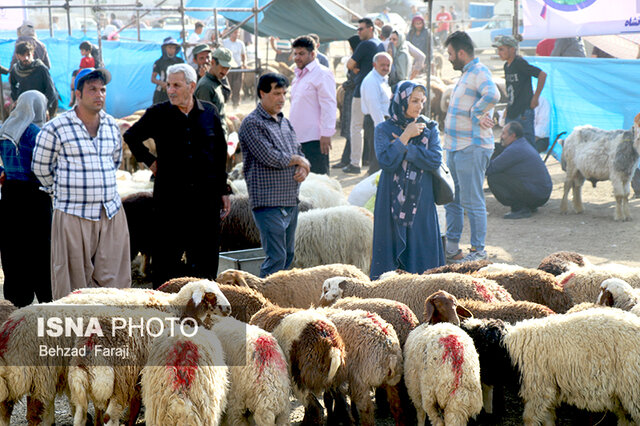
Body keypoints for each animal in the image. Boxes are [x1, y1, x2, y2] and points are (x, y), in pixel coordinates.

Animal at [504, 308, 640, 424]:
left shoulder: (539, 390)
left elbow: (529, 418)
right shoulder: (549, 390)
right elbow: (548, 418)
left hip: (633, 389)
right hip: (624, 394)